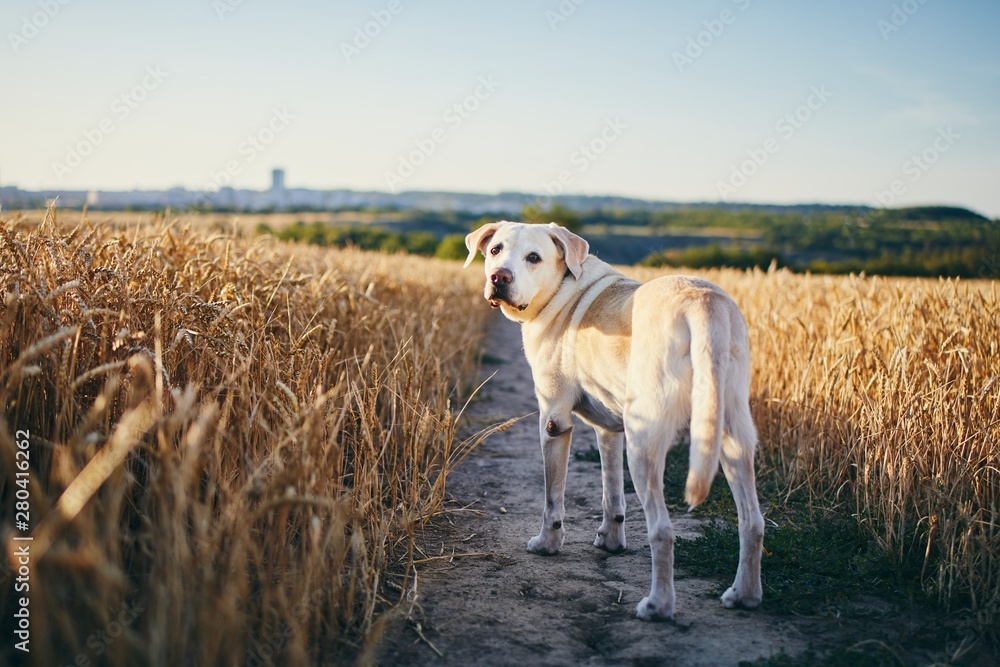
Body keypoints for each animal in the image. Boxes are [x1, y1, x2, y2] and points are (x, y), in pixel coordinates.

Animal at [462, 220, 764, 620]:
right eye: (495, 250)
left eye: (533, 257)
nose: (499, 277)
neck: (562, 289)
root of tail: (702, 302)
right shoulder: (609, 430)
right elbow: (612, 494)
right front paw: (611, 540)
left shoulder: (554, 421)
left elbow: (552, 500)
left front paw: (547, 544)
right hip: (731, 436)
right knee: (752, 521)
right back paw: (744, 595)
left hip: (643, 443)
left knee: (662, 531)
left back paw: (657, 605)